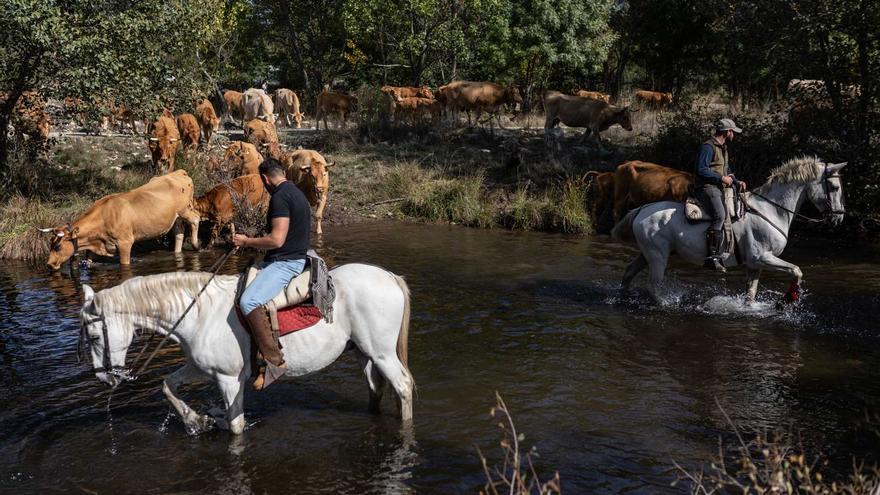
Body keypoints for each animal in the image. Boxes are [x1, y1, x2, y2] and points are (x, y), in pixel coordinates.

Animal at [80, 264, 416, 434]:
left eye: (95, 337)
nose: (104, 379)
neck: (200, 312)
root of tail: (389, 276)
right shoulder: (200, 367)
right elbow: (167, 385)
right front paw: (196, 420)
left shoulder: (229, 379)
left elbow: (236, 426)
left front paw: (210, 419)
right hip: (365, 352)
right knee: (376, 386)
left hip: (382, 353)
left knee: (402, 387)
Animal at [612, 157, 844, 304]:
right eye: (834, 188)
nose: (839, 217)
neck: (771, 210)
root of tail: (641, 209)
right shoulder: (763, 257)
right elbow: (796, 270)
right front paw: (788, 300)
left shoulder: (755, 264)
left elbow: (751, 294)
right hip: (657, 255)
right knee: (653, 285)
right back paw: (666, 304)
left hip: (648, 253)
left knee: (629, 273)